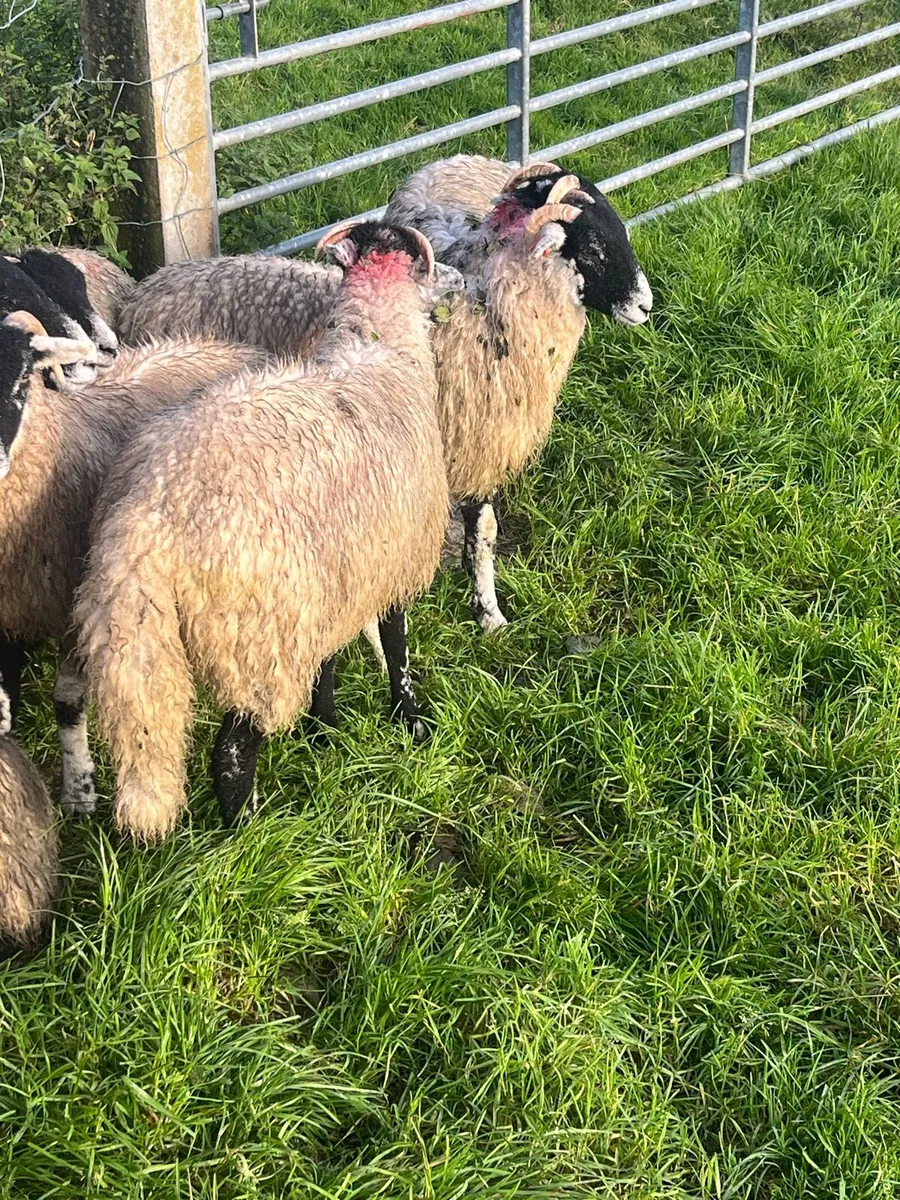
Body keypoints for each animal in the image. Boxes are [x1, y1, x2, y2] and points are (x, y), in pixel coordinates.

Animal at [75, 221, 450, 839]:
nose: (459, 285)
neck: (378, 342)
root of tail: (145, 520)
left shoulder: (336, 575)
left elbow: (328, 660)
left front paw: (325, 728)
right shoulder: (395, 555)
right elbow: (396, 646)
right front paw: (410, 720)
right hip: (254, 635)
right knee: (229, 752)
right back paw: (247, 833)